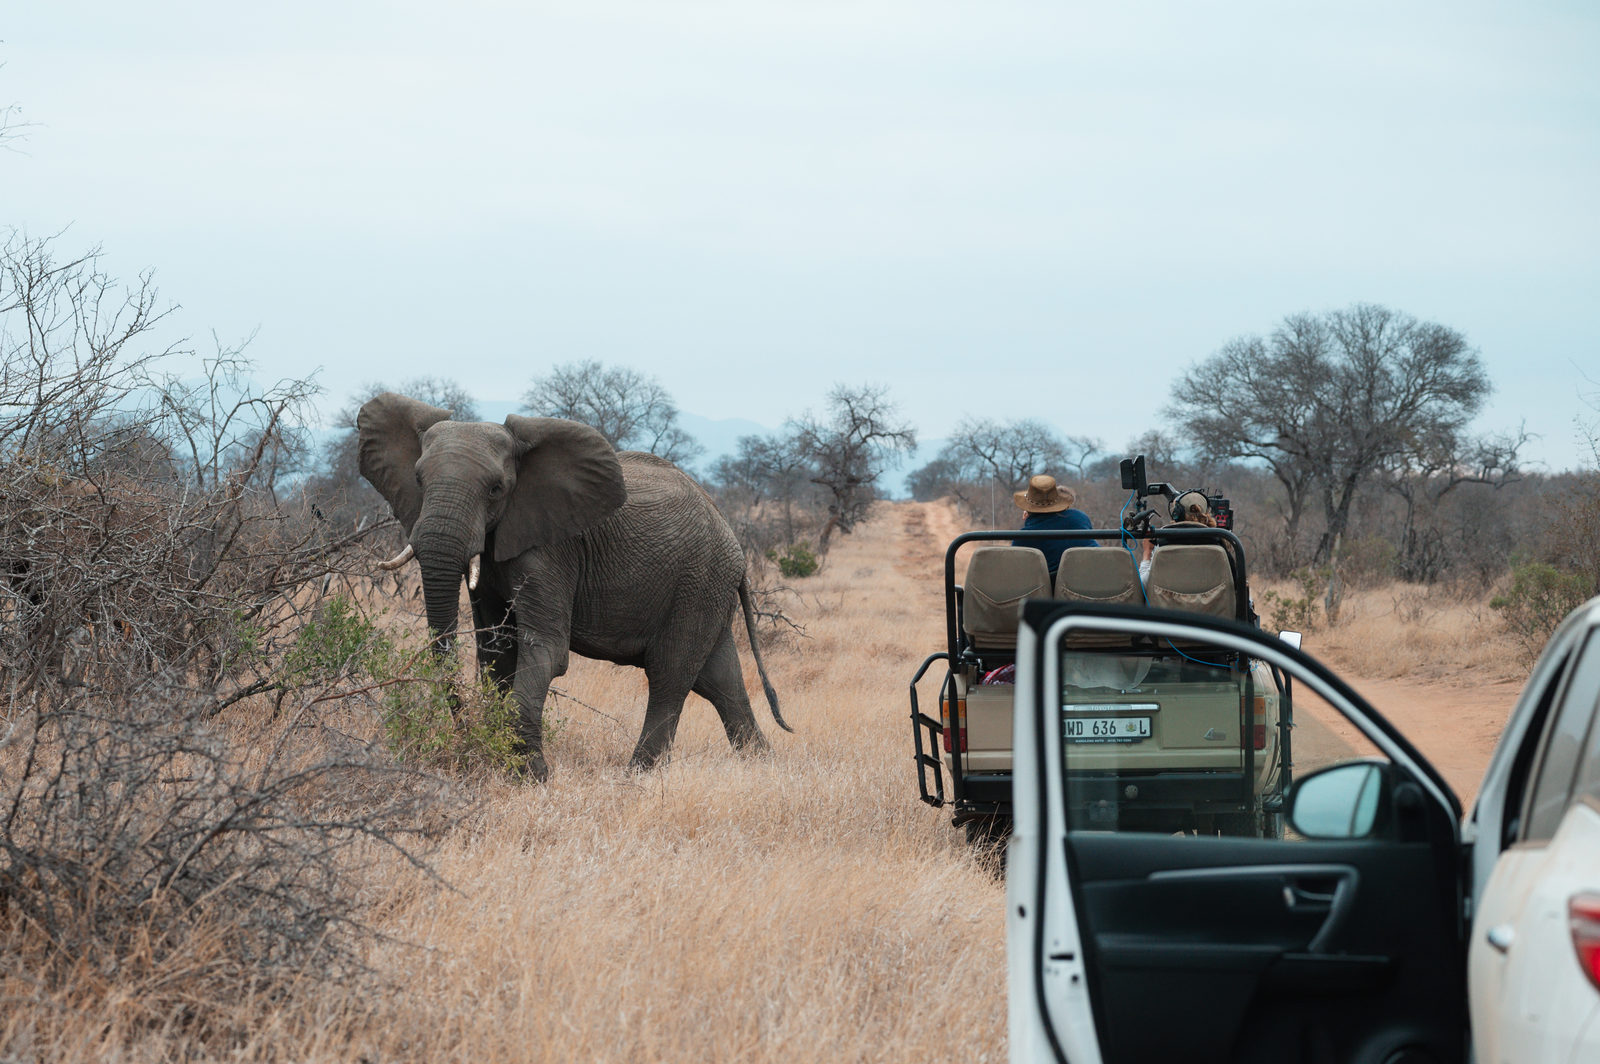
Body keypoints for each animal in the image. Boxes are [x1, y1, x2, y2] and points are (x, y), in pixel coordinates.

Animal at [360, 393, 790, 777]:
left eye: (496, 489)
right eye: (418, 480)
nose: (462, 728)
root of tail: (733, 542)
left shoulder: (553, 549)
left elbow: (546, 650)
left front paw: (532, 778)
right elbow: (497, 652)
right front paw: (504, 766)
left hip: (698, 582)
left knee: (670, 674)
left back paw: (635, 776)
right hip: (708, 588)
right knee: (720, 679)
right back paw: (762, 765)